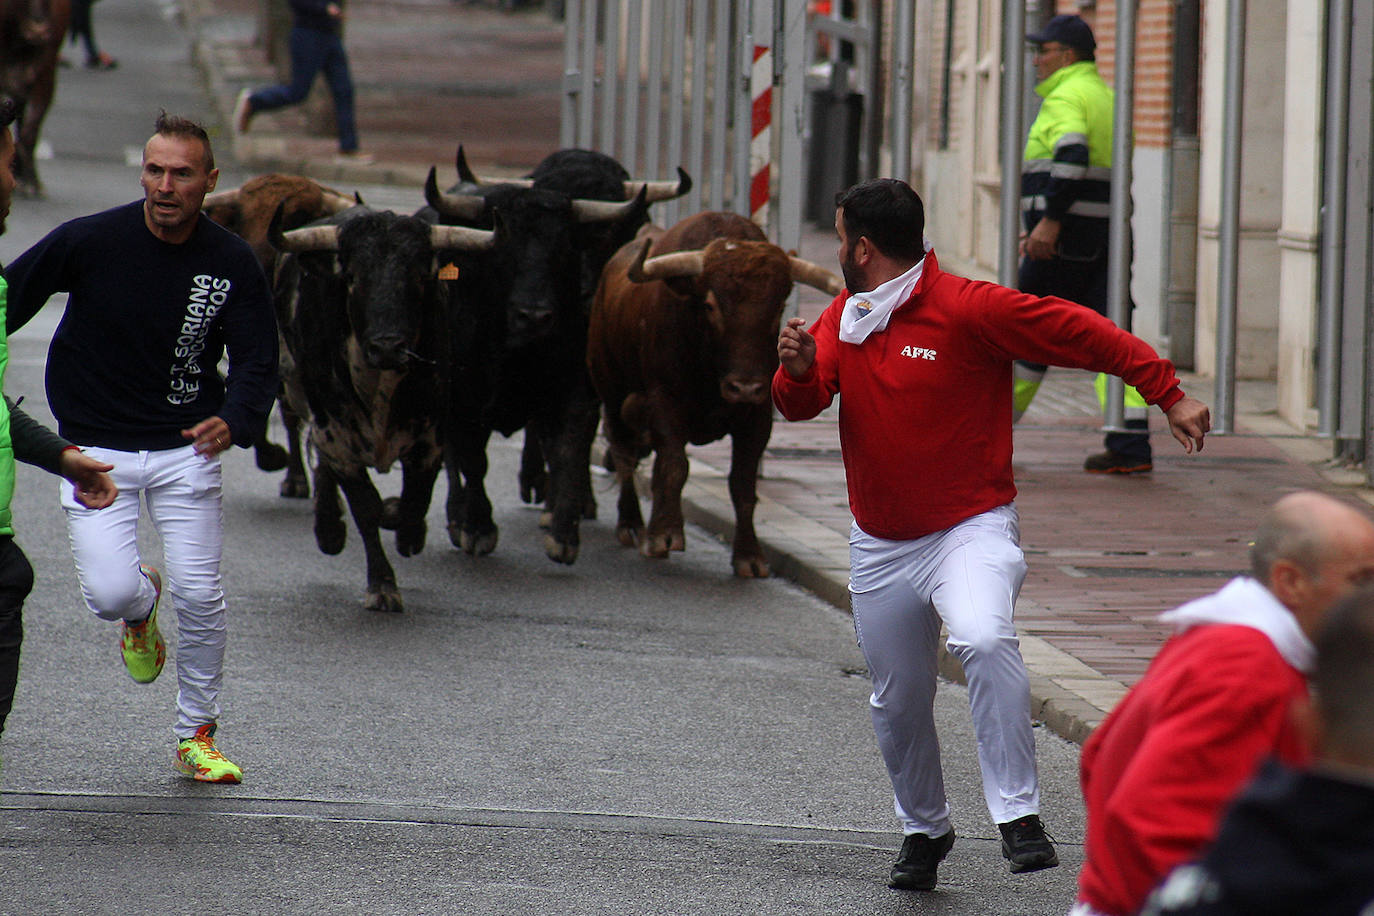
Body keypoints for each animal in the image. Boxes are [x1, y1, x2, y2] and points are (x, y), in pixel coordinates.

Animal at [588, 211, 840, 576]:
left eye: (778, 306)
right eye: (709, 305)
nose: (744, 387)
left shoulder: (758, 417)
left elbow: (742, 483)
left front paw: (749, 555)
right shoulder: (664, 404)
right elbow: (675, 467)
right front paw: (665, 534)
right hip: (611, 393)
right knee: (624, 458)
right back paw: (632, 524)